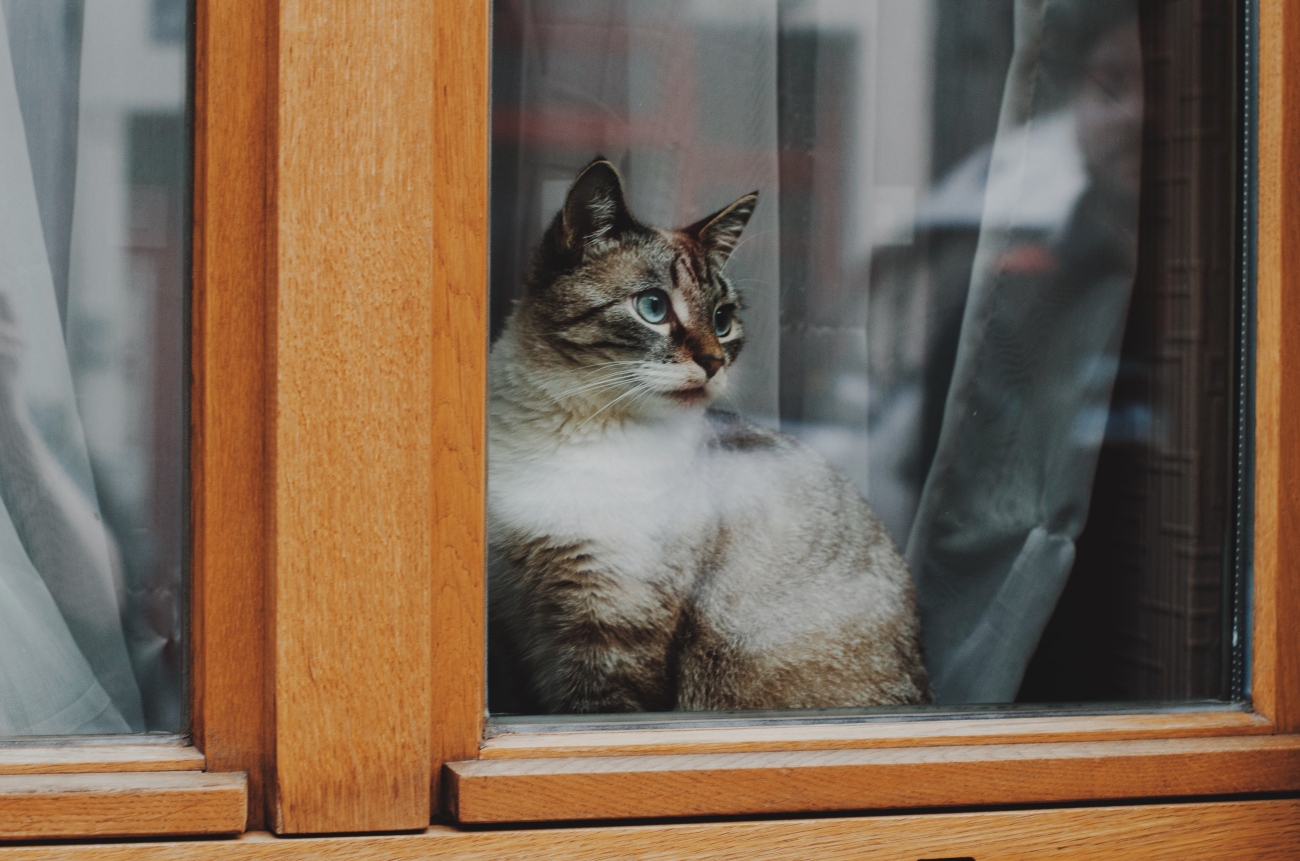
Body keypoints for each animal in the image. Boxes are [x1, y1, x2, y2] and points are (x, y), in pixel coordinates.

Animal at [488, 156, 935, 712]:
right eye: (653, 308)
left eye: (723, 320)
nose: (715, 361)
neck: (573, 430)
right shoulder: (518, 623)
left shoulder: (608, 637)